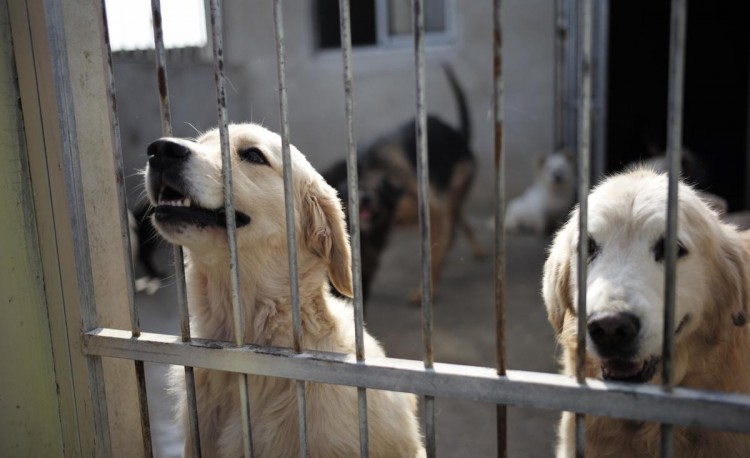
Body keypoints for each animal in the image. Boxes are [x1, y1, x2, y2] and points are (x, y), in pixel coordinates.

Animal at [326, 64, 484, 306]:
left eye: (379, 189)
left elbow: (432, 254)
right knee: (458, 220)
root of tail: (458, 133)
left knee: (451, 228)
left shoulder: (432, 212)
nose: (365, 199)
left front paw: (426, 291)